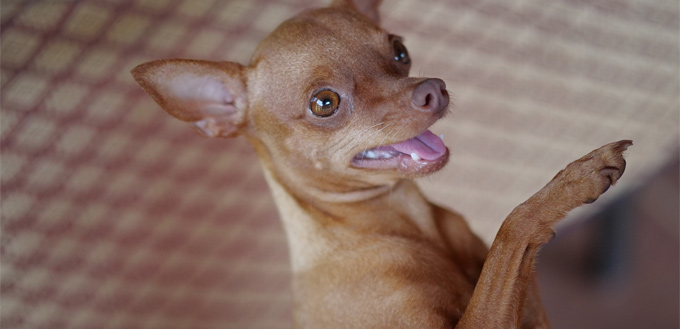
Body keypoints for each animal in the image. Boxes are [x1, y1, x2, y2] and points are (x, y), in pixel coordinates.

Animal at [130, 1, 628, 326]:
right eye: (324, 103)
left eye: (400, 51)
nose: (433, 90)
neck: (400, 226)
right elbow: (512, 233)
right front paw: (569, 184)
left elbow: (504, 264)